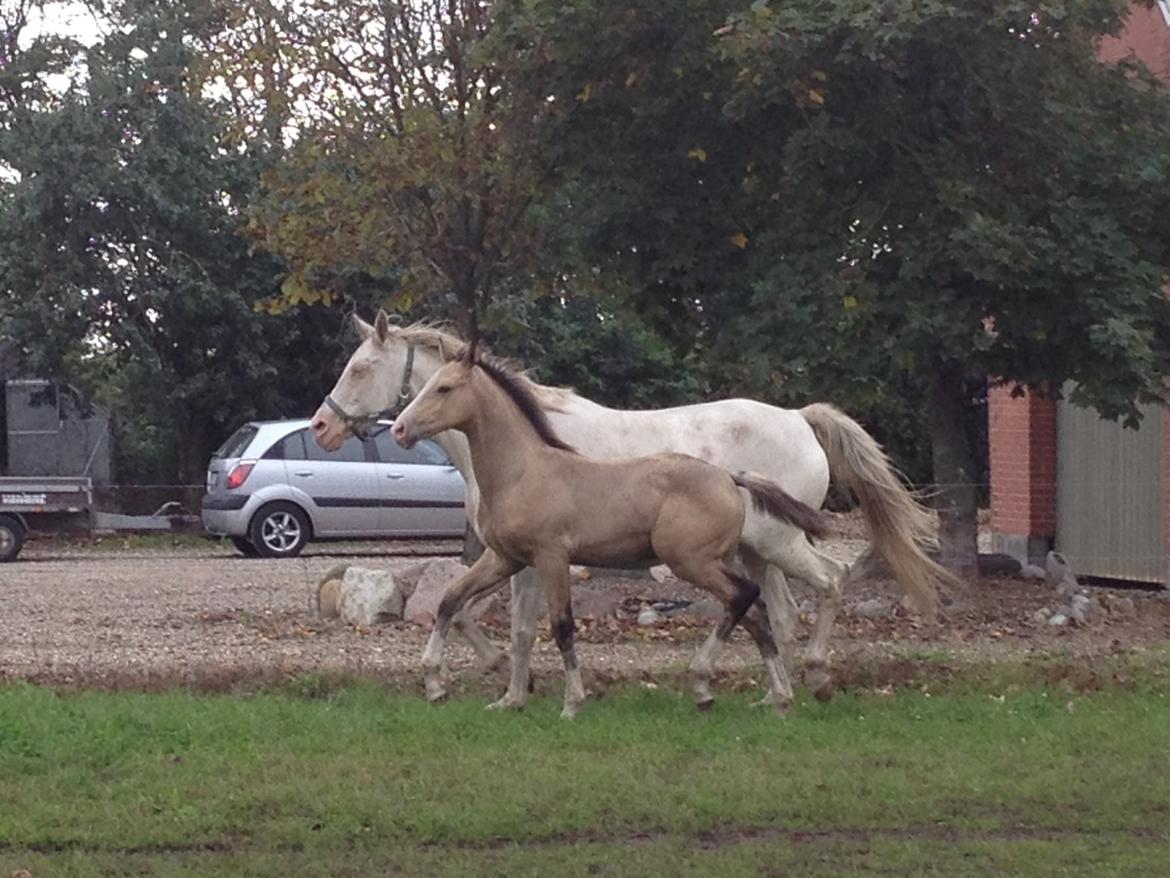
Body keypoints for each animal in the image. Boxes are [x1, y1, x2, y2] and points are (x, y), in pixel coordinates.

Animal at [311, 313, 950, 711]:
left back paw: (810, 679)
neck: (526, 453)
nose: (320, 426)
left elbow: (522, 623)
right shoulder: (509, 556)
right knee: (779, 611)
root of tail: (799, 417)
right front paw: (512, 687)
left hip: (776, 543)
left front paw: (525, 685)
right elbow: (486, 618)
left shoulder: (540, 556)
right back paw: (774, 691)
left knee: (828, 582)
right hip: (753, 551)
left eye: (361, 368)